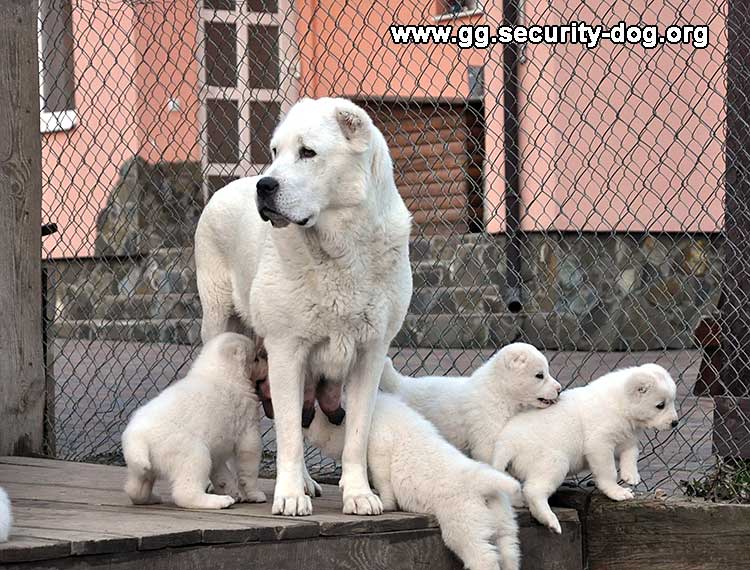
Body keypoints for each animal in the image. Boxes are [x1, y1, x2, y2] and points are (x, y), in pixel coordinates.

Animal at [125, 330, 272, 508]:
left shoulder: (217, 447)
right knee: (185, 492)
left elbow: (221, 472)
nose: (268, 365)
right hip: (194, 453)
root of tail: (138, 437)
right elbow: (248, 466)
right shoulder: (248, 430)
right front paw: (254, 494)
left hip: (141, 467)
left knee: (135, 489)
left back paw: (153, 498)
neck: (221, 372)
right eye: (256, 359)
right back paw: (218, 501)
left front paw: (231, 489)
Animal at [194, 96, 414, 516]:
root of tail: (225, 187)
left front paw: (359, 494)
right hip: (220, 324)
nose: (264, 185)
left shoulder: (370, 354)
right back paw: (227, 483)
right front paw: (290, 496)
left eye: (308, 152)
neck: (340, 250)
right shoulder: (286, 352)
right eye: (274, 152)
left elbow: (356, 436)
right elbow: (289, 439)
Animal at [306, 392, 524, 568]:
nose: (304, 422)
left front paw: (384, 502)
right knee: (509, 549)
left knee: (478, 551)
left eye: (316, 414)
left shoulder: (379, 439)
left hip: (464, 516)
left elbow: (381, 471)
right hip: (503, 517)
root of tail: (485, 483)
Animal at [494, 362, 680, 532]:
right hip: (554, 462)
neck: (620, 403)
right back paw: (550, 519)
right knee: (534, 491)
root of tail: (506, 442)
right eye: (660, 405)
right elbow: (608, 471)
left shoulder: (626, 437)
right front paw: (617, 491)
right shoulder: (600, 443)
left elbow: (631, 453)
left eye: (671, 402)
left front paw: (631, 476)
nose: (675, 423)